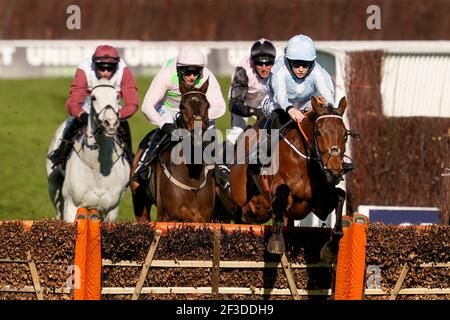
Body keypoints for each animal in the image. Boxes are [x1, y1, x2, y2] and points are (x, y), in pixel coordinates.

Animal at [46, 79, 130, 221]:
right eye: (94, 97)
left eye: (117, 96)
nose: (111, 123)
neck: (99, 169)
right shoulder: (72, 205)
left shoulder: (111, 210)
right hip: (53, 186)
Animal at [130, 80, 216, 222]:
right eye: (182, 106)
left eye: (207, 105)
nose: (197, 136)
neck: (192, 177)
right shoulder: (166, 216)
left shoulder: (204, 218)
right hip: (139, 201)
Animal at [230, 95, 360, 262]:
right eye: (318, 133)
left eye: (345, 135)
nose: (334, 171)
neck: (306, 162)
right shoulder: (279, 188)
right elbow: (282, 192)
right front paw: (276, 240)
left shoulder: (320, 206)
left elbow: (340, 196)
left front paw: (331, 249)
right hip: (240, 192)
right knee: (239, 208)